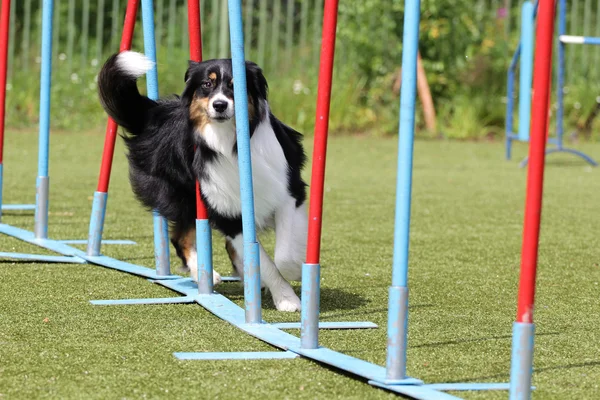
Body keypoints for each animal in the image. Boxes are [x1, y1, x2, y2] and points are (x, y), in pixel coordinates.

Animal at [99, 51, 310, 310]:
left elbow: (283, 255)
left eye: (235, 85)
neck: (231, 143)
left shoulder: (289, 192)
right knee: (180, 238)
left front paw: (292, 278)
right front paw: (287, 299)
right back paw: (205, 275)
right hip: (185, 198)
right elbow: (265, 261)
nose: (219, 105)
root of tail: (154, 114)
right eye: (206, 85)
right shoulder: (227, 212)